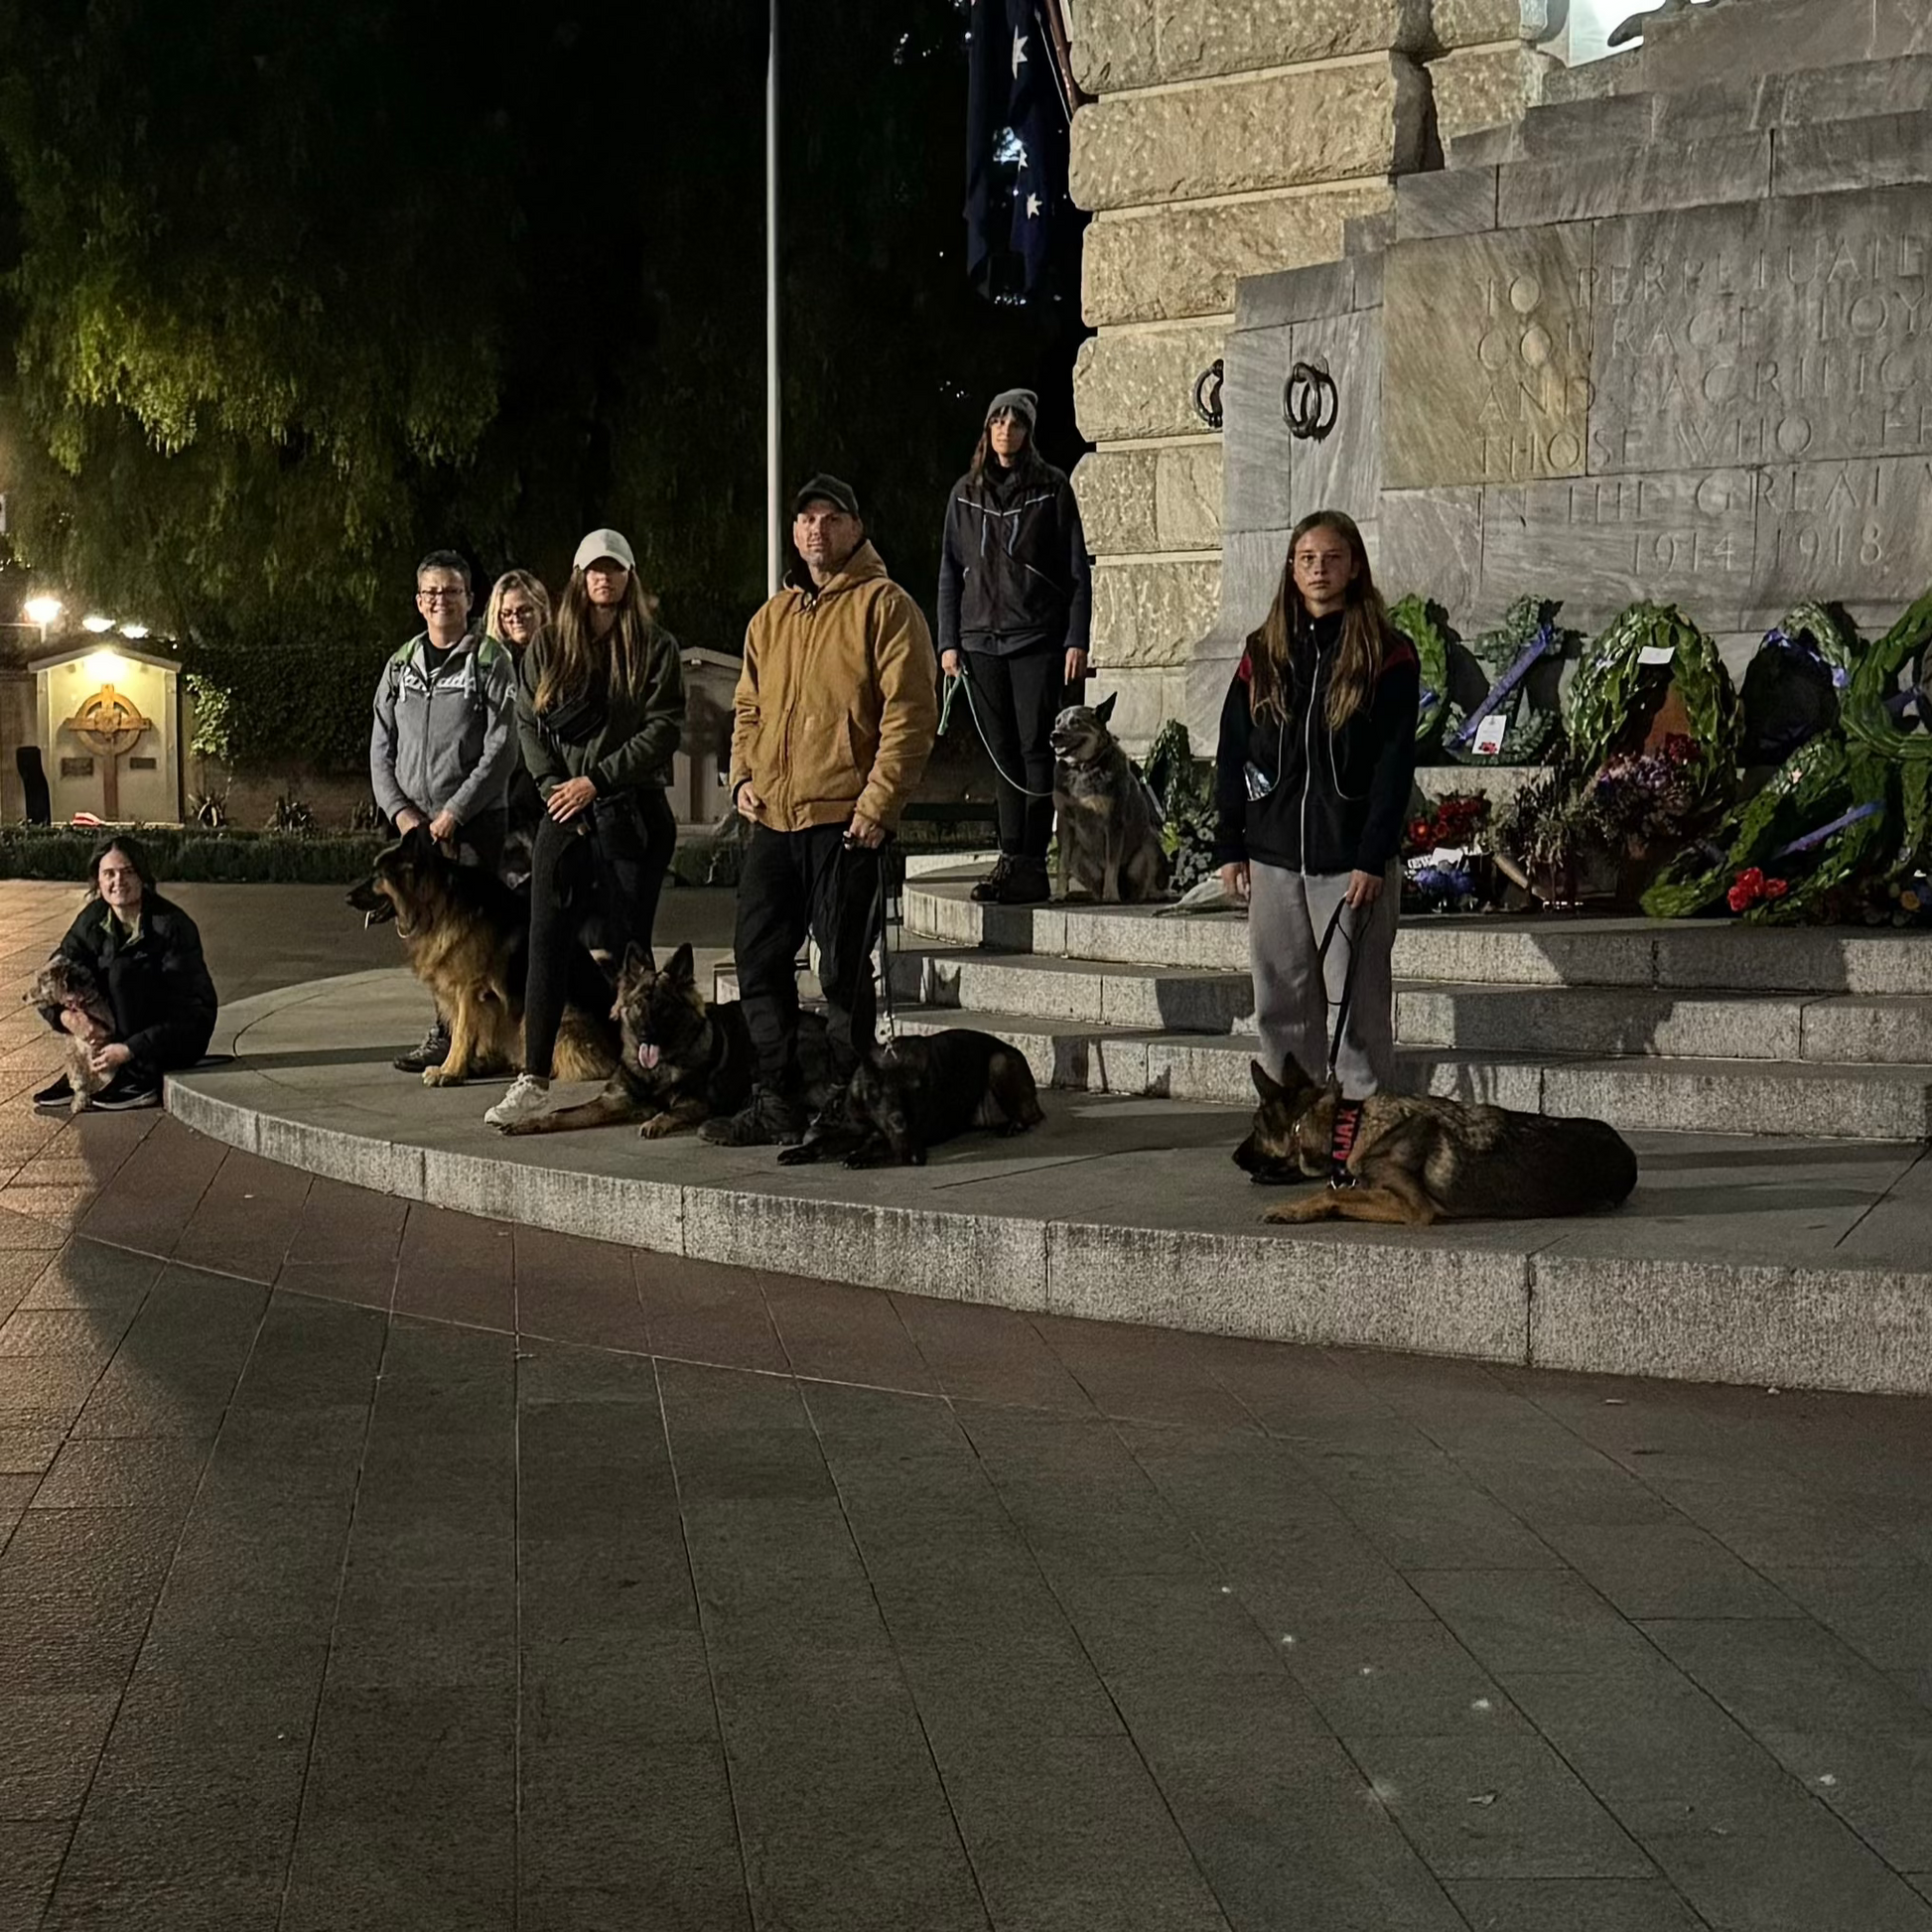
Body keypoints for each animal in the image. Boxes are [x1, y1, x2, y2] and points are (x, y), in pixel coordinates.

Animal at [1050, 695, 1167, 903]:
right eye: (1058, 721)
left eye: (1076, 722)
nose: (1054, 735)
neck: (1083, 768)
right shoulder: (1065, 822)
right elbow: (1062, 863)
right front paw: (1060, 894)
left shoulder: (1113, 821)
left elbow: (1112, 864)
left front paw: (1111, 895)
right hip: (1078, 855)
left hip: (1150, 845)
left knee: (1143, 887)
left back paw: (1147, 895)